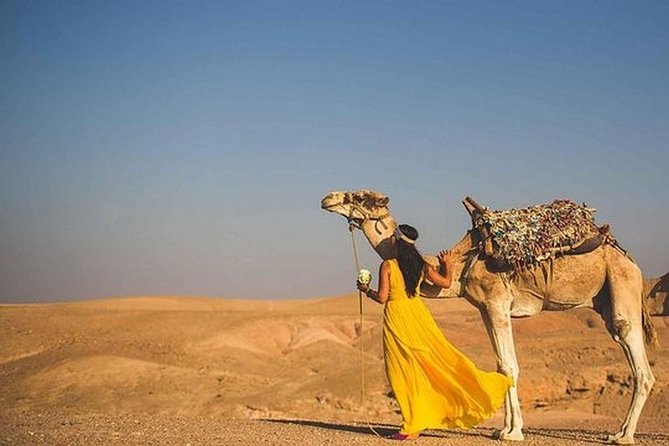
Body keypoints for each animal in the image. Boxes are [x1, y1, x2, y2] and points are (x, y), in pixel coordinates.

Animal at [321, 189, 657, 445]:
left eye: (362, 197)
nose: (328, 198)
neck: (461, 264)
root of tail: (631, 259)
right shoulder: (485, 308)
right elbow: (500, 366)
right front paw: (503, 429)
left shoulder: (497, 303)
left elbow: (510, 366)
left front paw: (514, 433)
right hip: (605, 298)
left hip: (622, 285)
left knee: (639, 361)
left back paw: (623, 436)